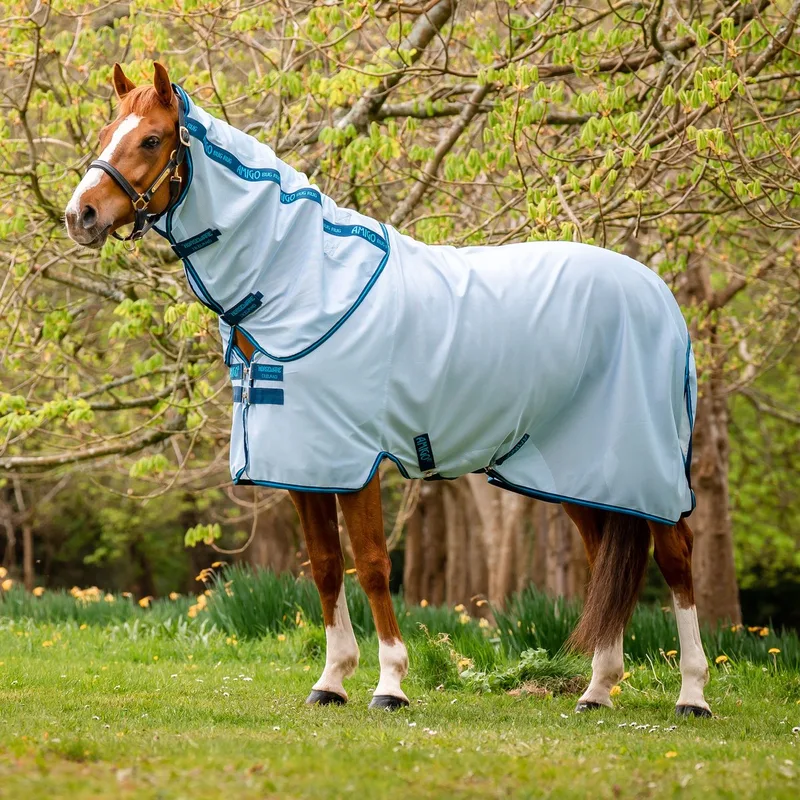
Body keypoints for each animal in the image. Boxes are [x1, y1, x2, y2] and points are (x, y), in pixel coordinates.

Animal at [65, 63, 711, 717]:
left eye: (151, 140)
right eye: (106, 132)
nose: (80, 215)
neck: (304, 281)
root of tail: (658, 294)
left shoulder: (356, 461)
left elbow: (373, 565)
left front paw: (390, 684)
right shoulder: (304, 465)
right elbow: (327, 566)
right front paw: (331, 681)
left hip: (645, 466)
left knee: (676, 555)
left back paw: (692, 695)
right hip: (580, 470)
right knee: (606, 558)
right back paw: (598, 690)